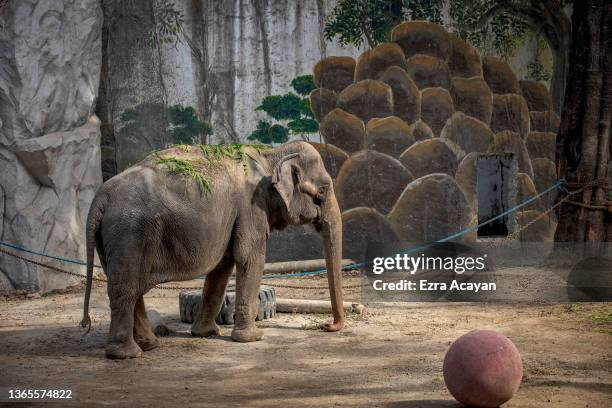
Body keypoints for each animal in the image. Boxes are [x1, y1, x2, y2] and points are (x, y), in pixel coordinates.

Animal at [81, 142, 344, 358]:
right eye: (323, 191)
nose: (327, 326)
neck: (270, 154)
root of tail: (100, 197)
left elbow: (222, 267)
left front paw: (206, 333)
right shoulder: (251, 207)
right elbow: (250, 259)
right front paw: (252, 338)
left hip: (113, 239)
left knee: (128, 286)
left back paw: (149, 345)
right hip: (129, 233)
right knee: (126, 288)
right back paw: (127, 354)